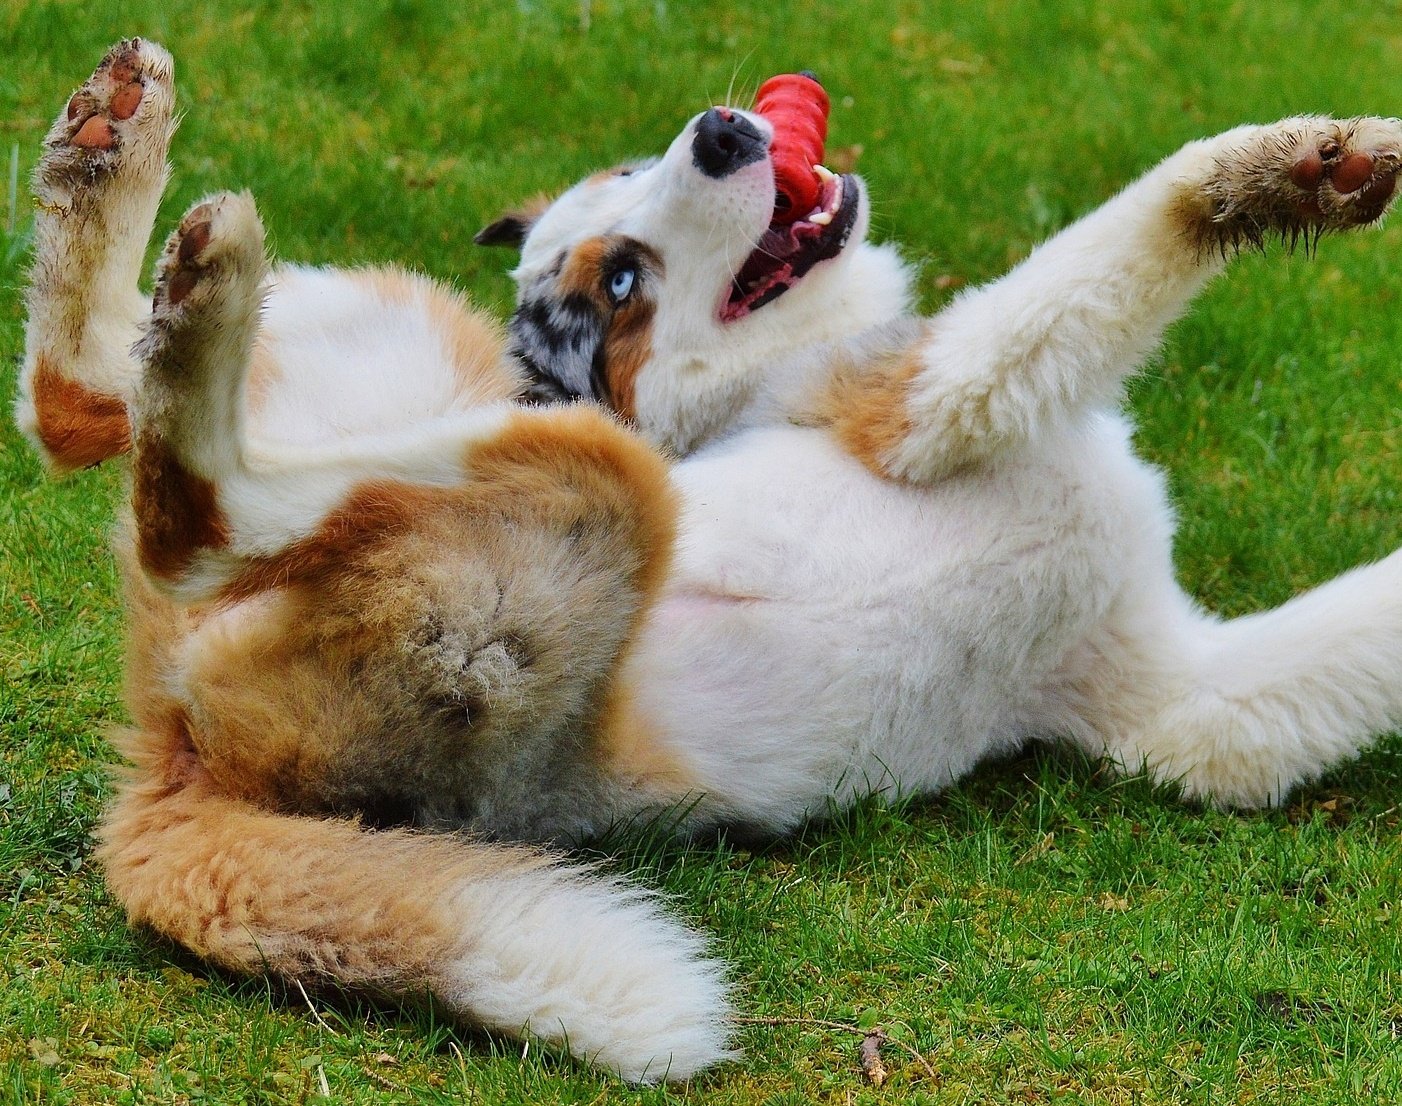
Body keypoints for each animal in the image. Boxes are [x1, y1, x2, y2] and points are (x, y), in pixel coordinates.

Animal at [19, 41, 1402, 1076]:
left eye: (631, 177)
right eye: (622, 283)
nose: (727, 134)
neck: (757, 370)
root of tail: (167, 756)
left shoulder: (1185, 705)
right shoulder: (933, 402)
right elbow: (1115, 246)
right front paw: (1287, 170)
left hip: (414, 347)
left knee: (92, 406)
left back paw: (113, 151)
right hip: (586, 473)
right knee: (172, 489)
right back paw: (181, 257)